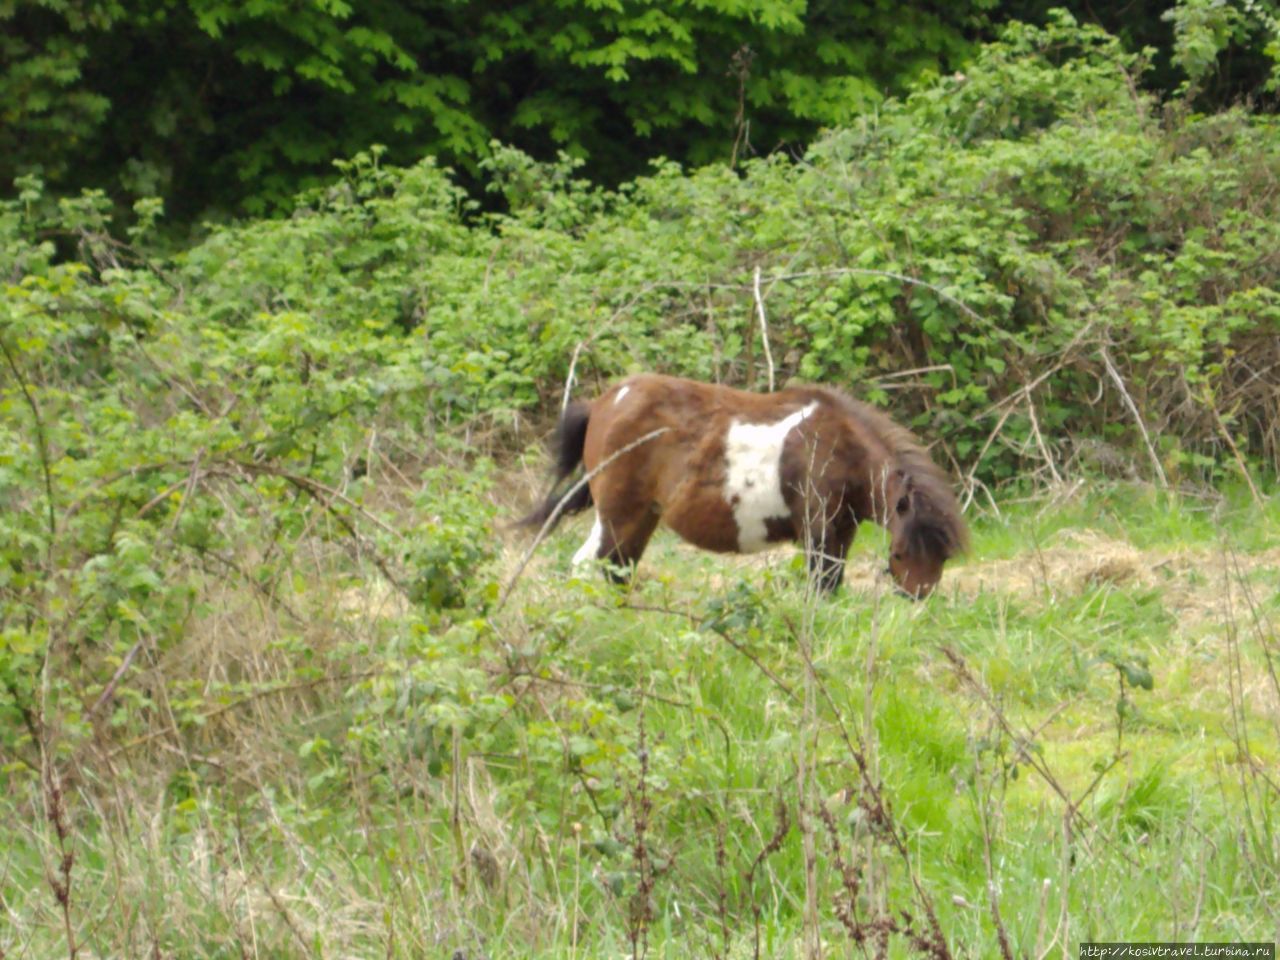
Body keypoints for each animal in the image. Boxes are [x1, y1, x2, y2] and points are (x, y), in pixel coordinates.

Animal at [514, 371, 962, 599]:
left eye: (942, 558)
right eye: (899, 554)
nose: (916, 602)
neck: (839, 445)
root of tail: (605, 402)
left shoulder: (842, 531)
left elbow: (832, 583)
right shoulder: (817, 530)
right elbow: (820, 586)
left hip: (633, 518)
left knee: (604, 568)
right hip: (621, 516)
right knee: (606, 566)